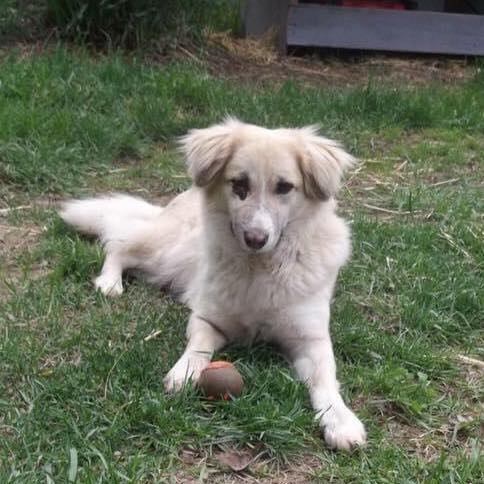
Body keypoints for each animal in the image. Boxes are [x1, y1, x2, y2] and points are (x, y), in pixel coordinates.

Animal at [62, 119, 368, 452]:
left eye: (285, 187)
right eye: (239, 185)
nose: (255, 239)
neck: (258, 270)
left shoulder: (311, 339)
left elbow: (326, 381)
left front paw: (341, 421)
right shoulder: (208, 319)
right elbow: (198, 347)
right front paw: (184, 372)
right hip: (165, 252)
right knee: (119, 244)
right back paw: (109, 282)